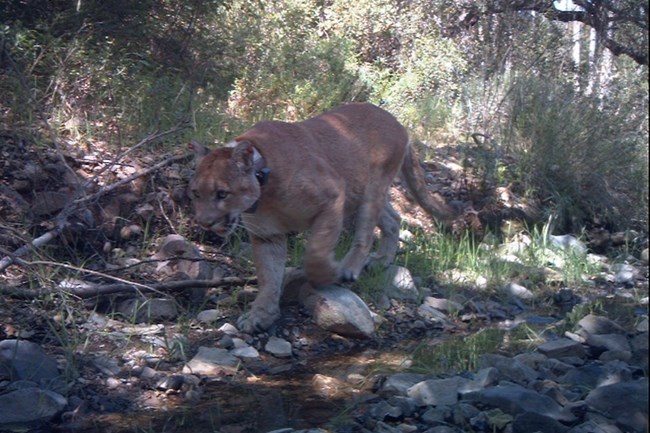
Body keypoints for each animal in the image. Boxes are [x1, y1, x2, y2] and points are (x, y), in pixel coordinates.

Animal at [187, 103, 454, 332]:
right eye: (196, 193)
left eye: (222, 193)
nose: (204, 222)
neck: (264, 187)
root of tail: (398, 122)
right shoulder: (267, 236)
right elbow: (268, 276)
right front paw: (261, 315)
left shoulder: (332, 198)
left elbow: (315, 253)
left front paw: (328, 274)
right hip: (360, 195)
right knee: (393, 218)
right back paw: (382, 260)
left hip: (371, 190)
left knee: (366, 234)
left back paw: (350, 269)